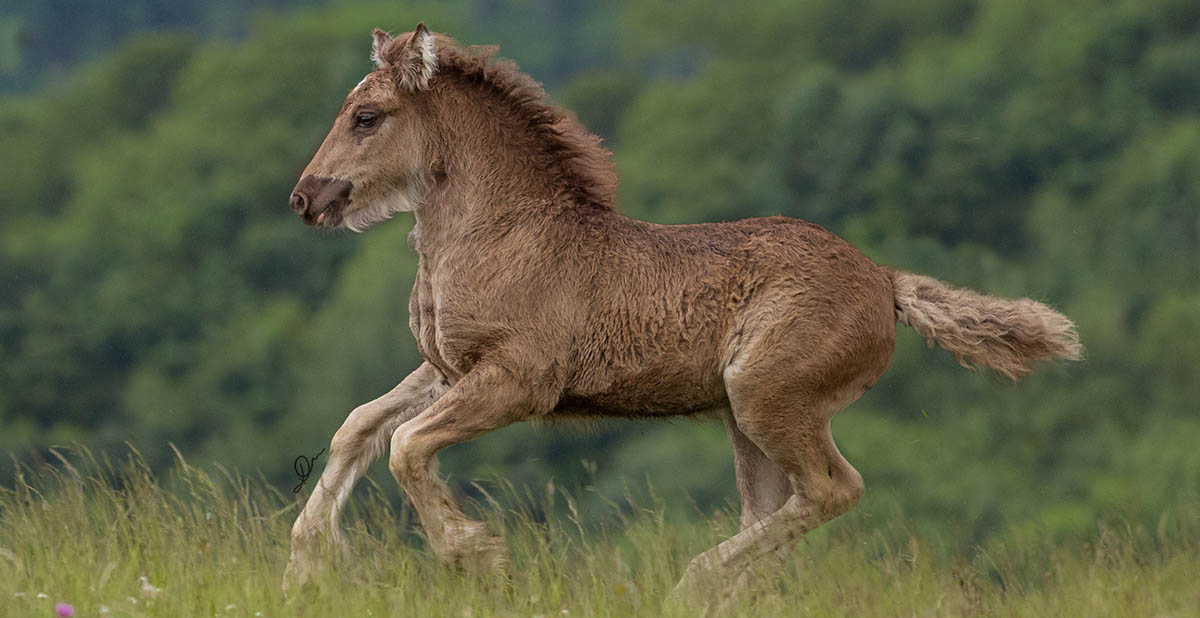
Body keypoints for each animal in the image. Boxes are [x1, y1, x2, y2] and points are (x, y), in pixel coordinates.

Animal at [285, 25, 1084, 604]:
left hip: (767, 395)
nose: (305, 198)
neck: (499, 230)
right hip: (746, 417)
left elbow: (407, 444)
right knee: (778, 509)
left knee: (833, 488)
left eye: (366, 117)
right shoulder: (448, 367)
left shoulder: (520, 379)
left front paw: (476, 555)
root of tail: (885, 279)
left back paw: (691, 582)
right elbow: (359, 425)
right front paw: (305, 561)